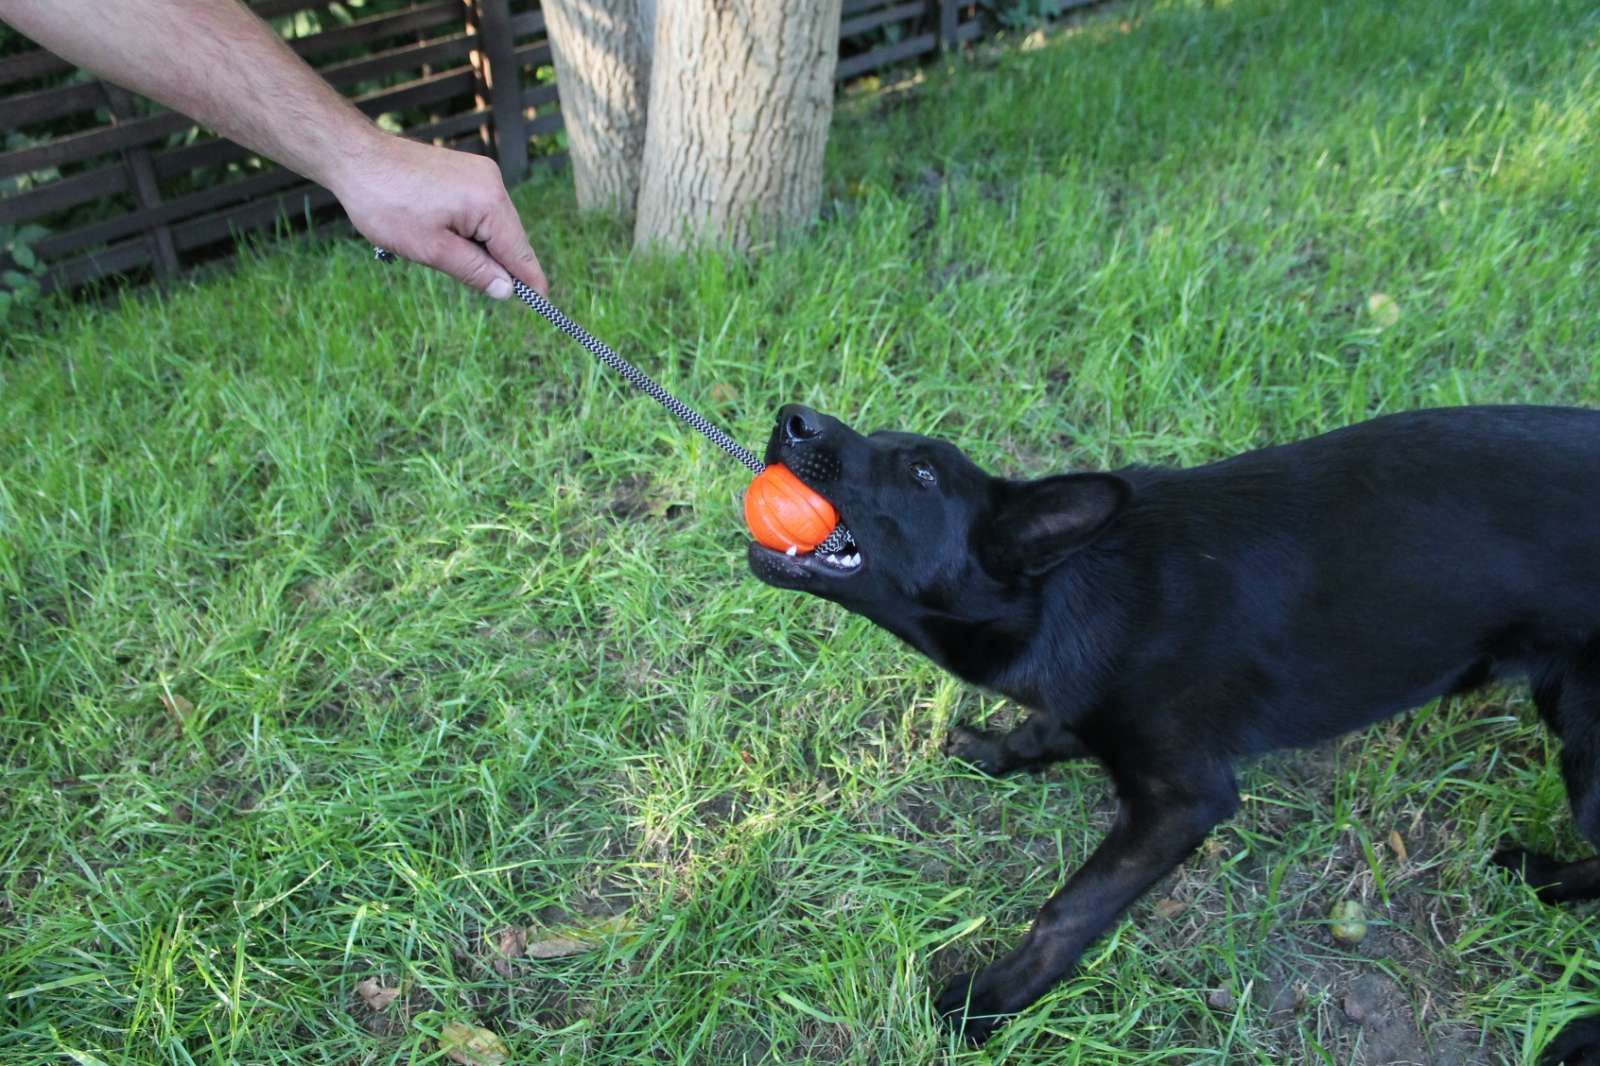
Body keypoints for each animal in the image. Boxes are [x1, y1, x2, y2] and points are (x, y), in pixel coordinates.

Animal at [748, 403, 1600, 1056]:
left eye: (921, 474)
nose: (792, 417)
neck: (1073, 590)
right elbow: (1047, 728)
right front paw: (996, 748)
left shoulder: (1183, 802)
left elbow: (1067, 911)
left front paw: (986, 1002)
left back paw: (1553, 915)